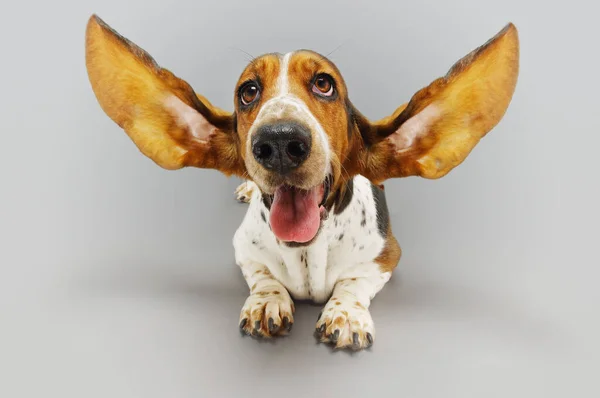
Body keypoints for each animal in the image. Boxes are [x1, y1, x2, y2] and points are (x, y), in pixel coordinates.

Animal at [85, 15, 520, 350]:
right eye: (248, 91)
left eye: (323, 84)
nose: (279, 141)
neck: (309, 251)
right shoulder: (243, 249)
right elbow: (262, 277)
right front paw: (267, 303)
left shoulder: (387, 256)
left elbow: (354, 282)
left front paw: (346, 315)